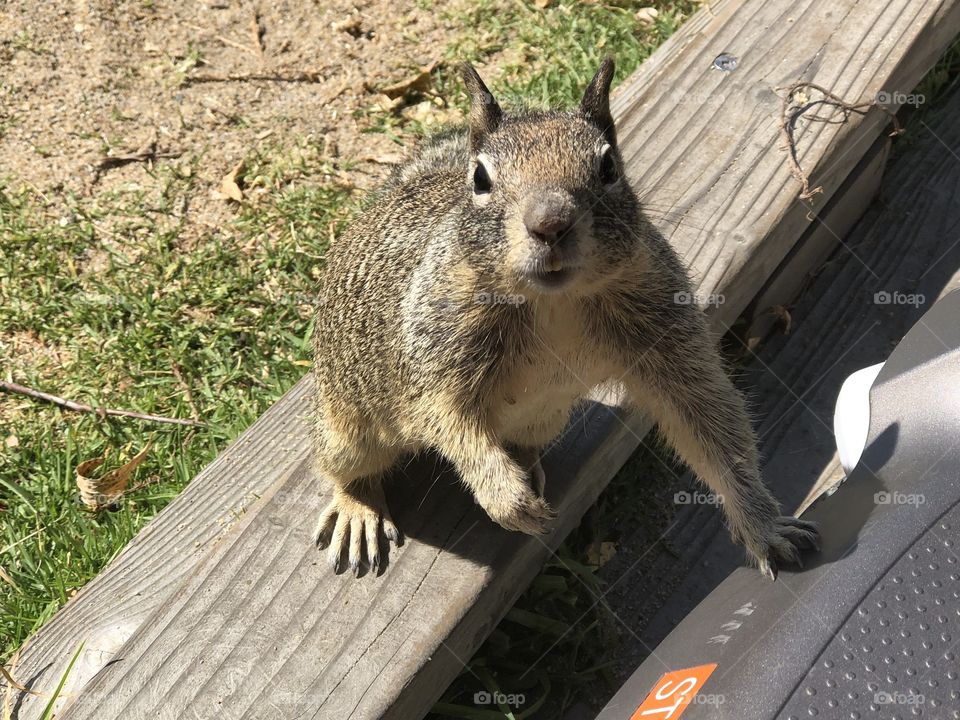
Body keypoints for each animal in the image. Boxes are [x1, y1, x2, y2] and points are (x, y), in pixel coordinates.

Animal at [312, 58, 819, 579]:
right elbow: (450, 422)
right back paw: (359, 510)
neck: (553, 302)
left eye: (609, 166)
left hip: (546, 418)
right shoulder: (435, 357)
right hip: (348, 430)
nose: (550, 223)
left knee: (523, 438)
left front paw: (763, 526)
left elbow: (713, 431)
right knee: (346, 469)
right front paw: (508, 501)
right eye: (480, 178)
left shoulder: (669, 343)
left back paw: (524, 463)